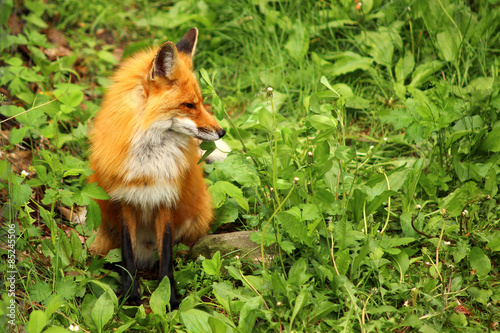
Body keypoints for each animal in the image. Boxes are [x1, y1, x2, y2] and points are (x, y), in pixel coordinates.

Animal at [88, 27, 225, 308]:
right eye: (189, 105)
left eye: (202, 102)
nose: (222, 132)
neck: (150, 158)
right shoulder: (125, 201)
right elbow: (127, 254)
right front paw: (131, 295)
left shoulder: (166, 200)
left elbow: (167, 257)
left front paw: (168, 298)